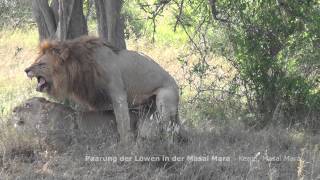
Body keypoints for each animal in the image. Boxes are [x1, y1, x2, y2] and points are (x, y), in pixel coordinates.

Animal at [24, 36, 180, 143]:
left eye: (41, 64)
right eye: (36, 61)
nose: (26, 70)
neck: (79, 67)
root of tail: (177, 86)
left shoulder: (118, 94)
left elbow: (122, 122)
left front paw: (125, 144)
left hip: (164, 101)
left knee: (169, 129)